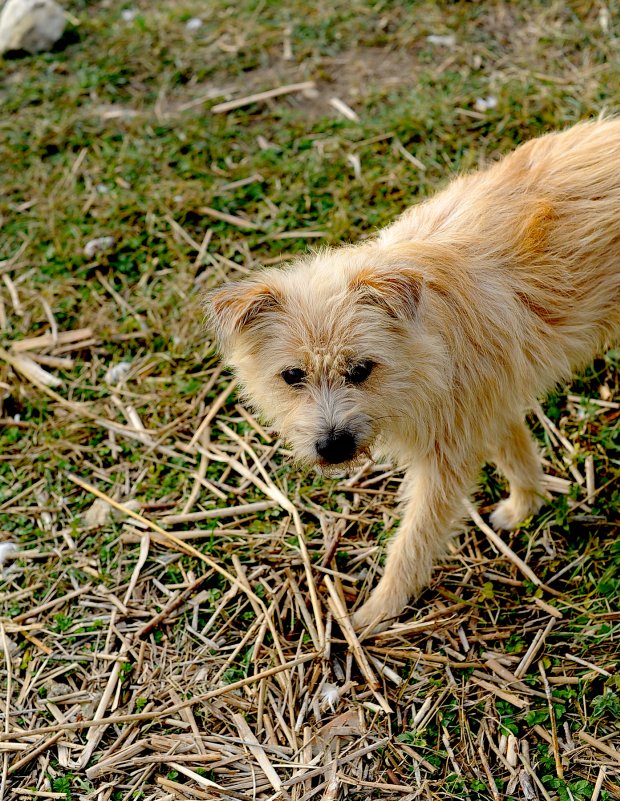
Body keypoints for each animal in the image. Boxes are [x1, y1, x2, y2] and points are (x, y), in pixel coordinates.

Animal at [207, 120, 620, 632]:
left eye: (361, 369)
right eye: (292, 375)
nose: (333, 446)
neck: (426, 338)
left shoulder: (446, 458)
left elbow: (414, 541)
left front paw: (377, 611)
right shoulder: (489, 405)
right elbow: (517, 455)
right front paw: (526, 505)